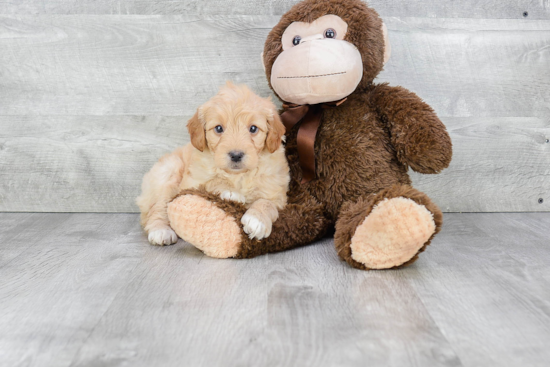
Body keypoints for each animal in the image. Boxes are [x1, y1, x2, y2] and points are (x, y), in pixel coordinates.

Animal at [137, 82, 288, 246]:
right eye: (219, 128)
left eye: (253, 128)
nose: (236, 155)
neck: (238, 176)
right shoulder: (191, 182)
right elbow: (212, 181)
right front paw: (230, 192)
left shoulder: (276, 192)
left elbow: (267, 203)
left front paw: (257, 220)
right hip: (169, 170)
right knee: (157, 208)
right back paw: (161, 231)